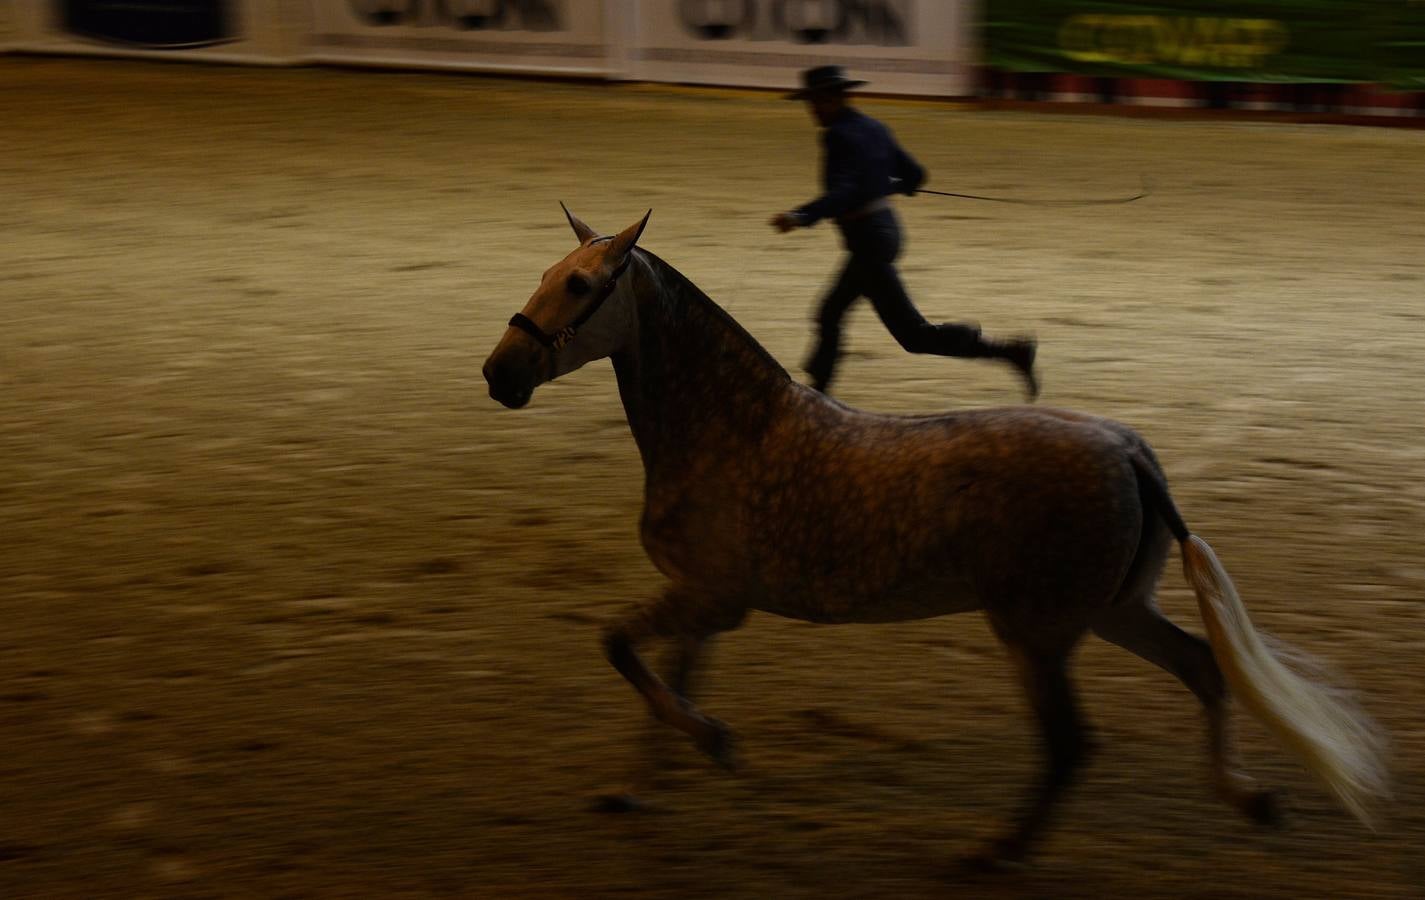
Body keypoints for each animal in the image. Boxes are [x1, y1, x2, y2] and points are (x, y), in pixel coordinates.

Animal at [481, 207, 1390, 865]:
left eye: (582, 285)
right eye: (544, 275)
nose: (498, 374)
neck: (729, 430)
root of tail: (1126, 449)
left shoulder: (708, 596)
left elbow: (621, 652)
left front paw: (714, 743)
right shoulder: (705, 602)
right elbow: (662, 683)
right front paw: (645, 782)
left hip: (1037, 634)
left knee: (1071, 745)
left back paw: (994, 851)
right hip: (1112, 612)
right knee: (1201, 669)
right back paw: (1248, 798)